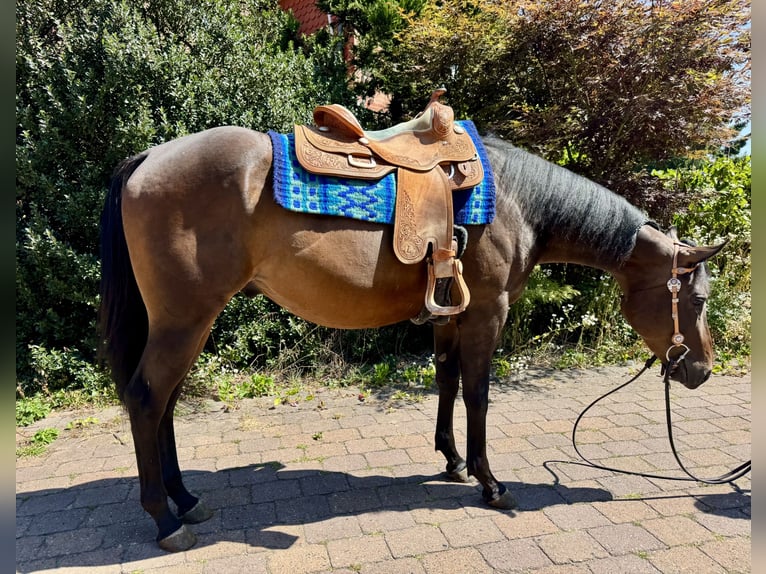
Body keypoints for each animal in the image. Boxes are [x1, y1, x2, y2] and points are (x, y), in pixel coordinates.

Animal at [99, 126, 725, 551]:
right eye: (696, 300)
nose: (701, 371)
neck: (517, 200)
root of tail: (147, 158)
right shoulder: (487, 313)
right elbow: (478, 393)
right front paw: (490, 482)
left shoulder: (450, 314)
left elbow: (446, 381)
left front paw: (452, 460)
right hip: (185, 319)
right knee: (147, 399)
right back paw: (164, 518)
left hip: (183, 322)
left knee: (165, 404)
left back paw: (186, 500)